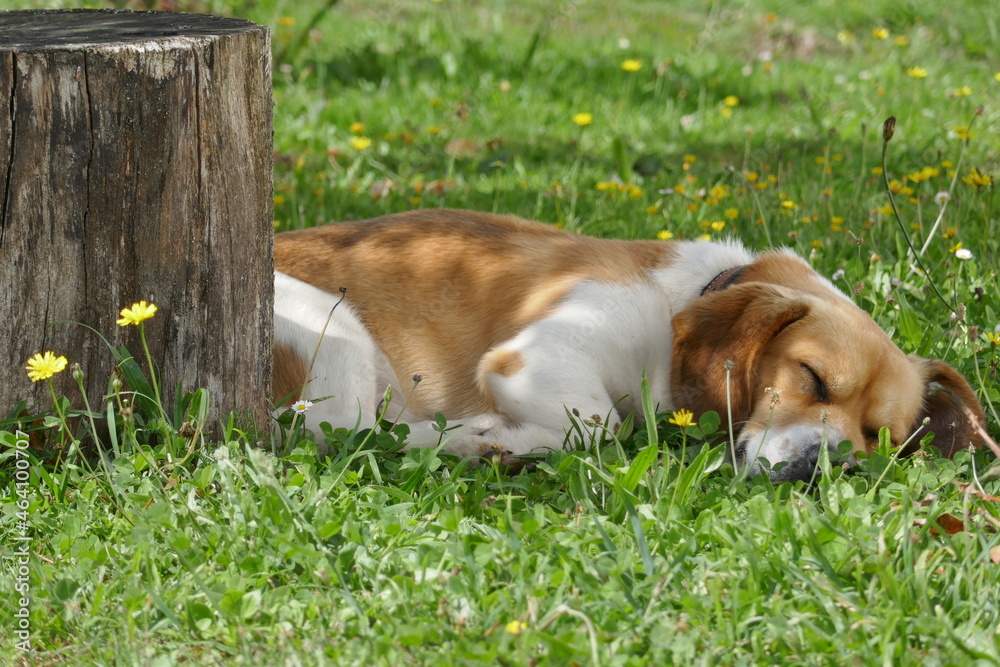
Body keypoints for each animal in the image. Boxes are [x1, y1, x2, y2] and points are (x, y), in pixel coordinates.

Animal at [274, 209, 984, 480]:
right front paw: (492, 434)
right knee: (346, 432)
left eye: (879, 439)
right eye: (812, 378)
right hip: (337, 335)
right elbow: (600, 425)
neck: (678, 303)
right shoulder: (537, 358)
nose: (829, 464)